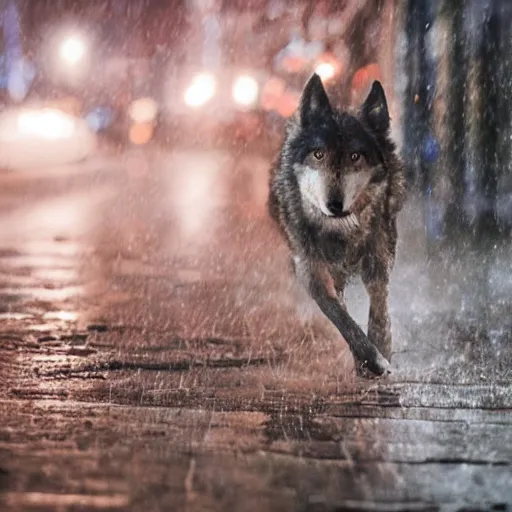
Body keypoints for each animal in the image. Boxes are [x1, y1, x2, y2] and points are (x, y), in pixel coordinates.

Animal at [270, 73, 406, 376]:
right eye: (318, 154)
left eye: (355, 156)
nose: (334, 204)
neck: (341, 233)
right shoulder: (311, 270)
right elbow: (340, 315)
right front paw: (370, 359)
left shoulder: (379, 257)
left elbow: (379, 305)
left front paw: (382, 348)